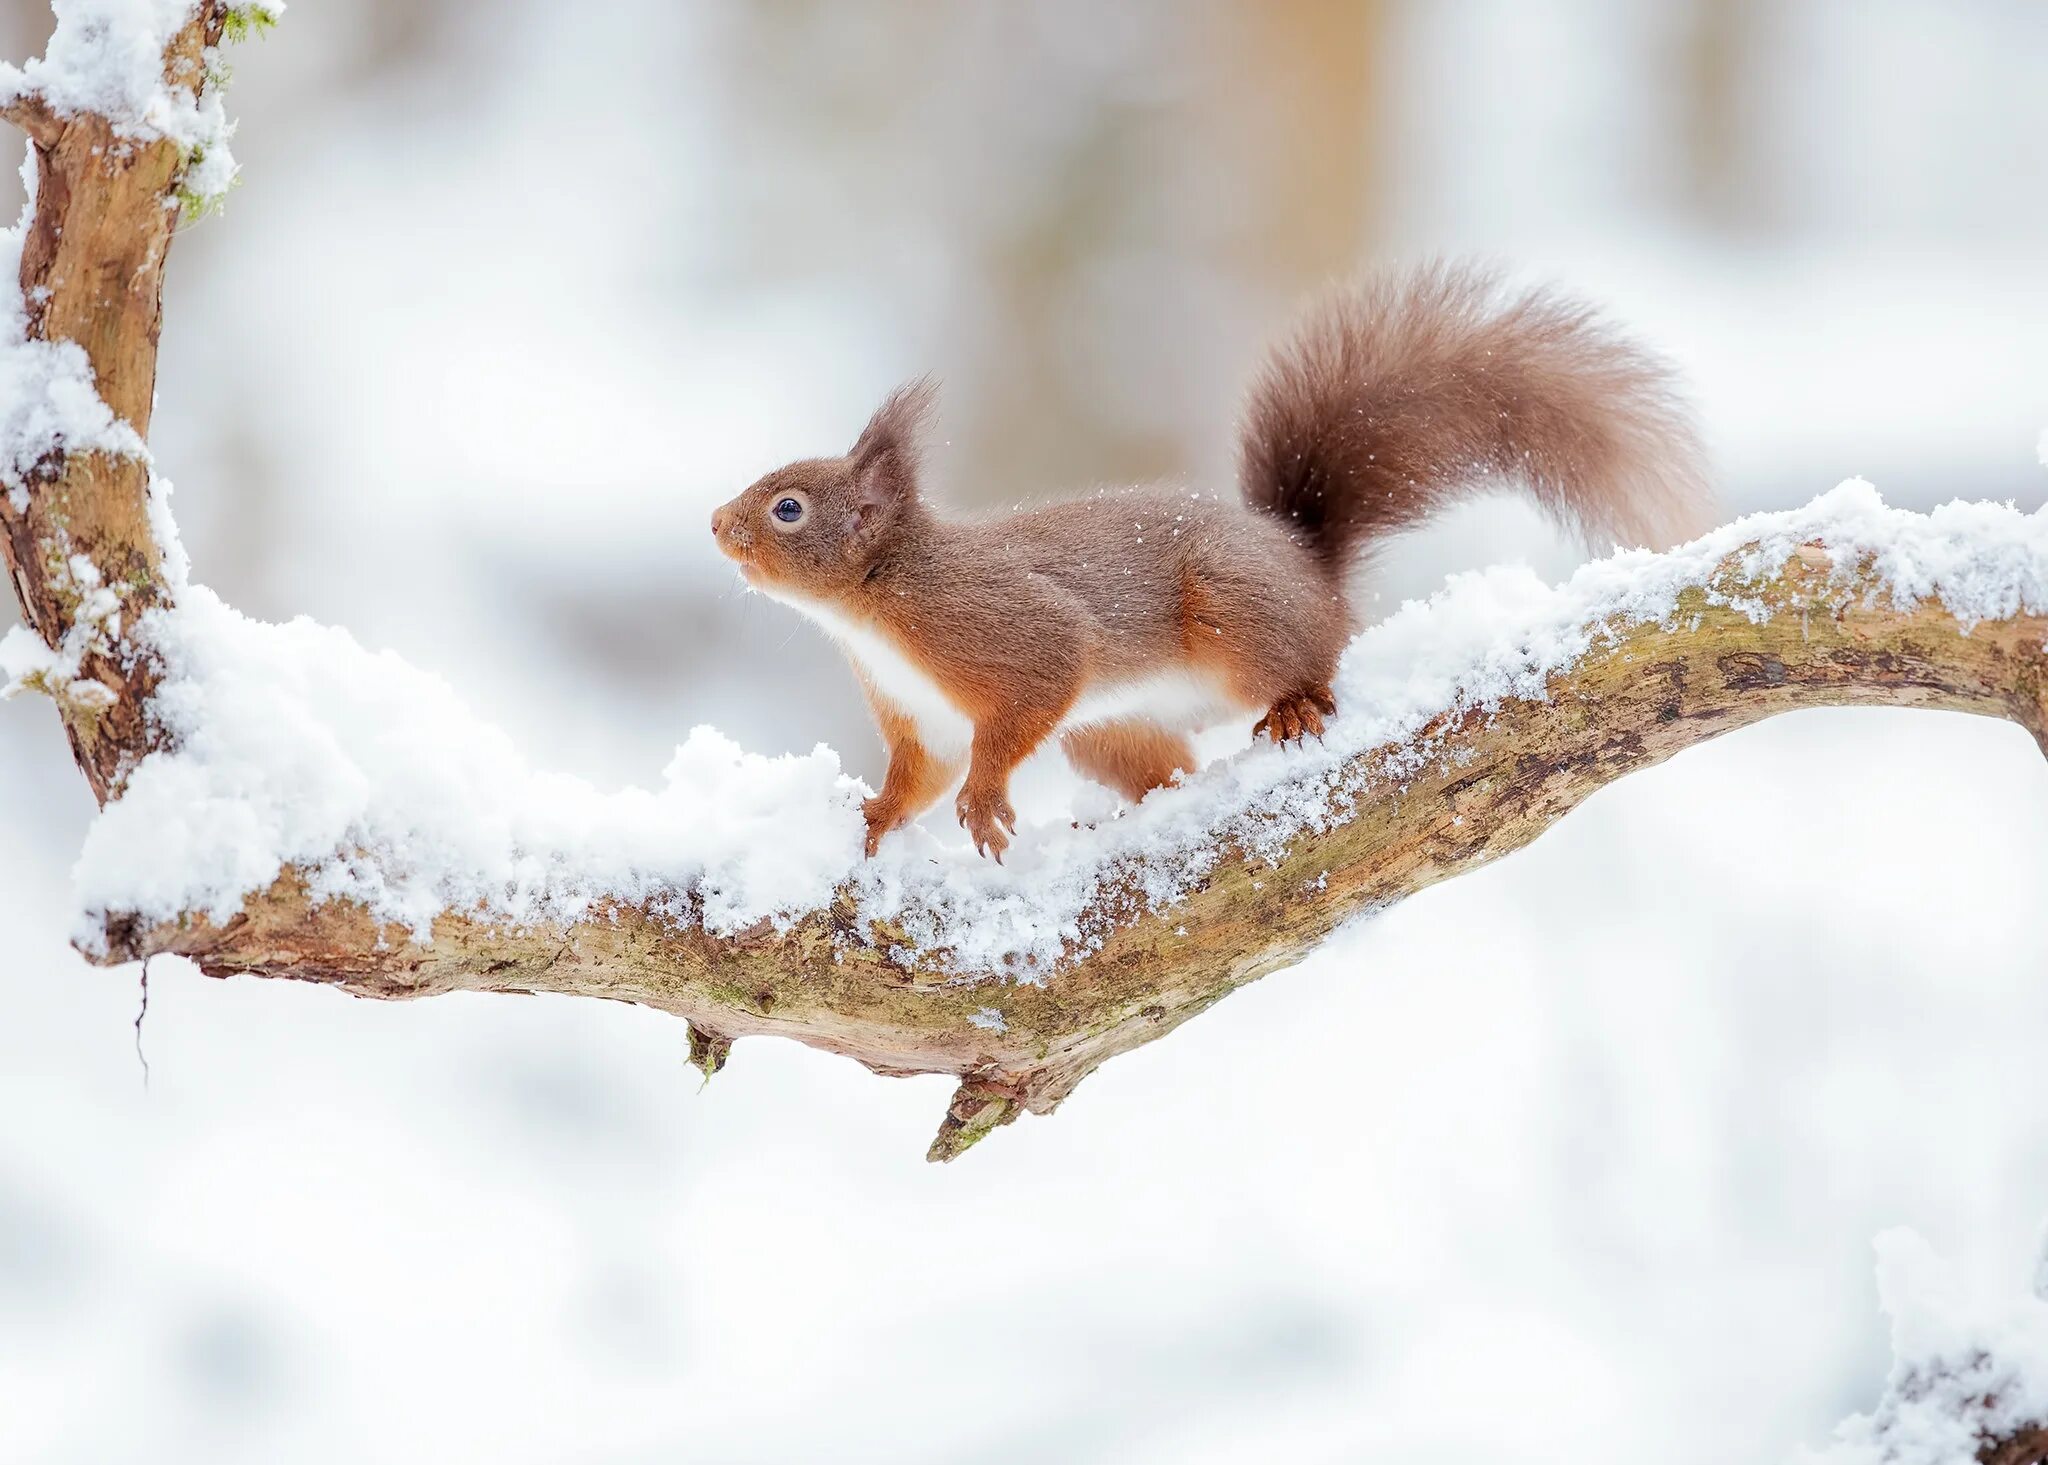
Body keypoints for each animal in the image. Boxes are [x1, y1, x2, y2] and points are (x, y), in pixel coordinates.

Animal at [712, 264, 1703, 860]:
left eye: (789, 508)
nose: (718, 524)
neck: (872, 610)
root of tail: (1308, 567)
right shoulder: (921, 717)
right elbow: (919, 775)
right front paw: (874, 817)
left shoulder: (998, 626)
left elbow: (1038, 681)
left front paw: (987, 802)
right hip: (1111, 729)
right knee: (1169, 766)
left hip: (1232, 611)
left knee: (1313, 665)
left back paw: (1297, 704)